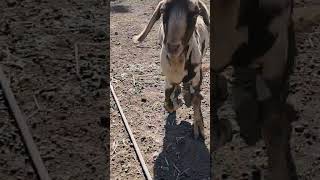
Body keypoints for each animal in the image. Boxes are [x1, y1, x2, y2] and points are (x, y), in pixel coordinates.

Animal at [132, 0, 210, 139]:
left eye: (195, 13)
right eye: (163, 11)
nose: (173, 47)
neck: (177, 64)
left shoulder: (197, 77)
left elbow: (196, 103)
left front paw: (199, 128)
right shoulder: (168, 79)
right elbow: (167, 104)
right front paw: (178, 102)